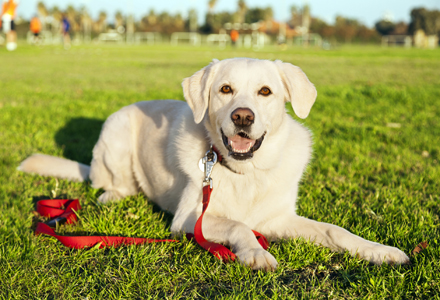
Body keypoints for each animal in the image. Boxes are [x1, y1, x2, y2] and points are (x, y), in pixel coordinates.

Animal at [18, 58, 410, 270]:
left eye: (265, 92)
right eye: (225, 89)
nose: (242, 116)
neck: (246, 172)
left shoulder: (280, 218)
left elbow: (335, 231)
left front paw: (378, 251)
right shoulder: (190, 219)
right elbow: (238, 224)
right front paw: (255, 252)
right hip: (115, 134)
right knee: (109, 182)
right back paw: (113, 195)